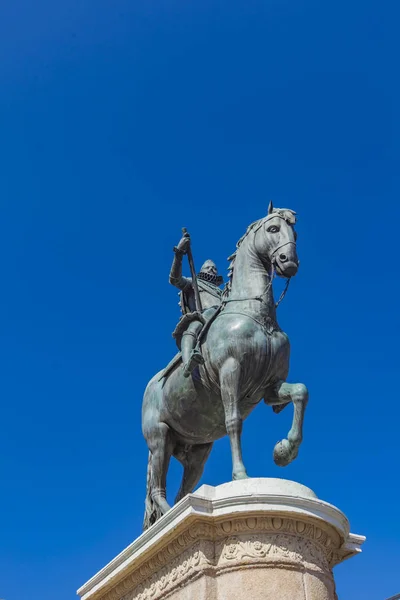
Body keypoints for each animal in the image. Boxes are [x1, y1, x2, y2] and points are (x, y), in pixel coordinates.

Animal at [142, 204, 308, 528]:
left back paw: (183, 510)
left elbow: (300, 393)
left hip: (197, 451)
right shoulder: (230, 371)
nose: (289, 262)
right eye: (273, 229)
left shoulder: (270, 387)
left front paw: (284, 451)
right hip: (159, 438)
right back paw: (167, 517)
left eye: (294, 233)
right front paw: (241, 475)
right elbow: (234, 422)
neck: (256, 314)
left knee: (182, 492)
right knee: (157, 487)